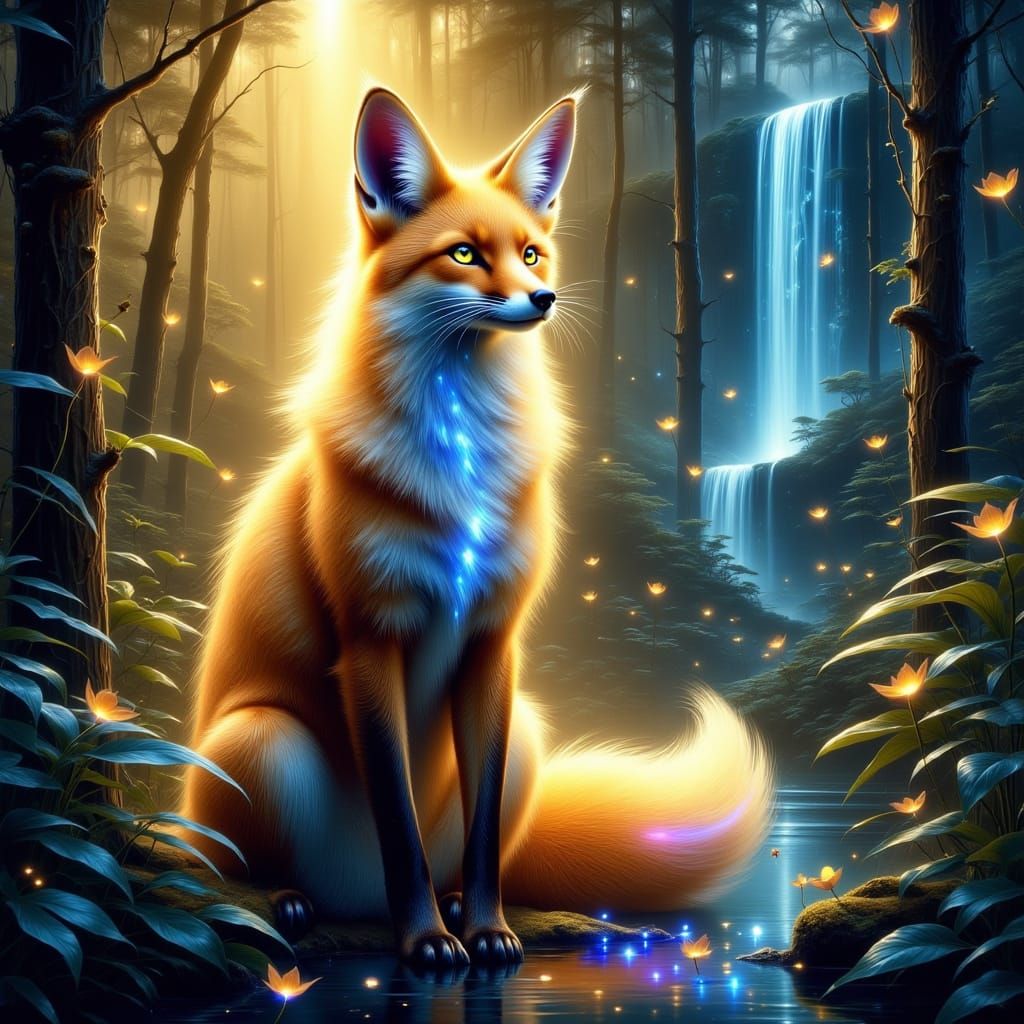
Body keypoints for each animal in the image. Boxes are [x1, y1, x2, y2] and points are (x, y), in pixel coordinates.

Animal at [181, 87, 773, 971]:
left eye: (531, 254)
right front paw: (426, 939)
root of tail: (349, 896)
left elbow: (488, 829)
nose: (543, 300)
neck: (459, 469)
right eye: (463, 254)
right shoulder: (370, 640)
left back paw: (452, 904)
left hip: (527, 728)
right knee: (230, 868)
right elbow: (398, 828)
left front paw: (485, 929)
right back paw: (287, 901)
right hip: (262, 738)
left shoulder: (496, 644)